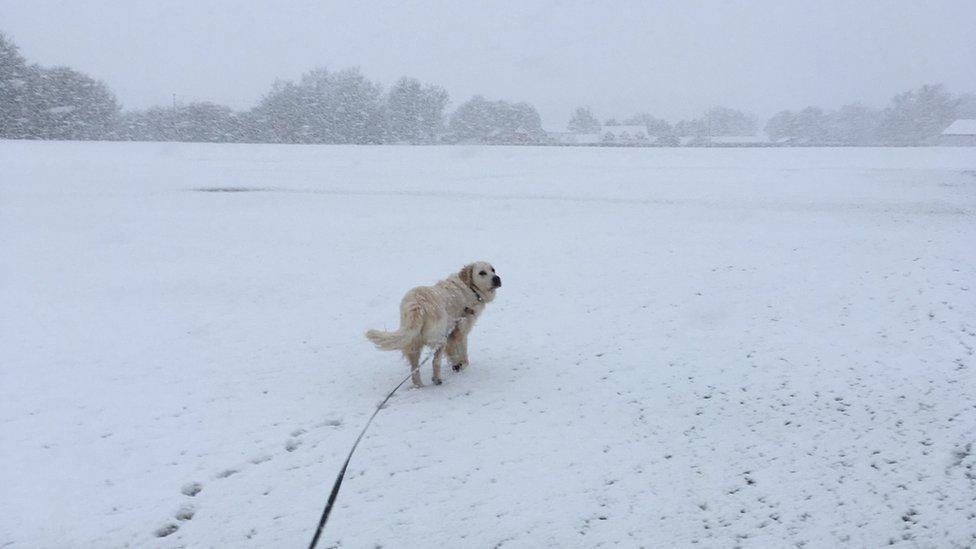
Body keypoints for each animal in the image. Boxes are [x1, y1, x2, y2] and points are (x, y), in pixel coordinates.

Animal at [366, 262, 504, 386]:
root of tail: (417, 304)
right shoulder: (460, 331)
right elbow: (463, 355)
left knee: (414, 368)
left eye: (493, 269)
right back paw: (437, 380)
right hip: (439, 338)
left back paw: (419, 386)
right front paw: (459, 365)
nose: (497, 278)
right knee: (435, 362)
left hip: (413, 341)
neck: (470, 288)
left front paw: (455, 364)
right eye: (482, 273)